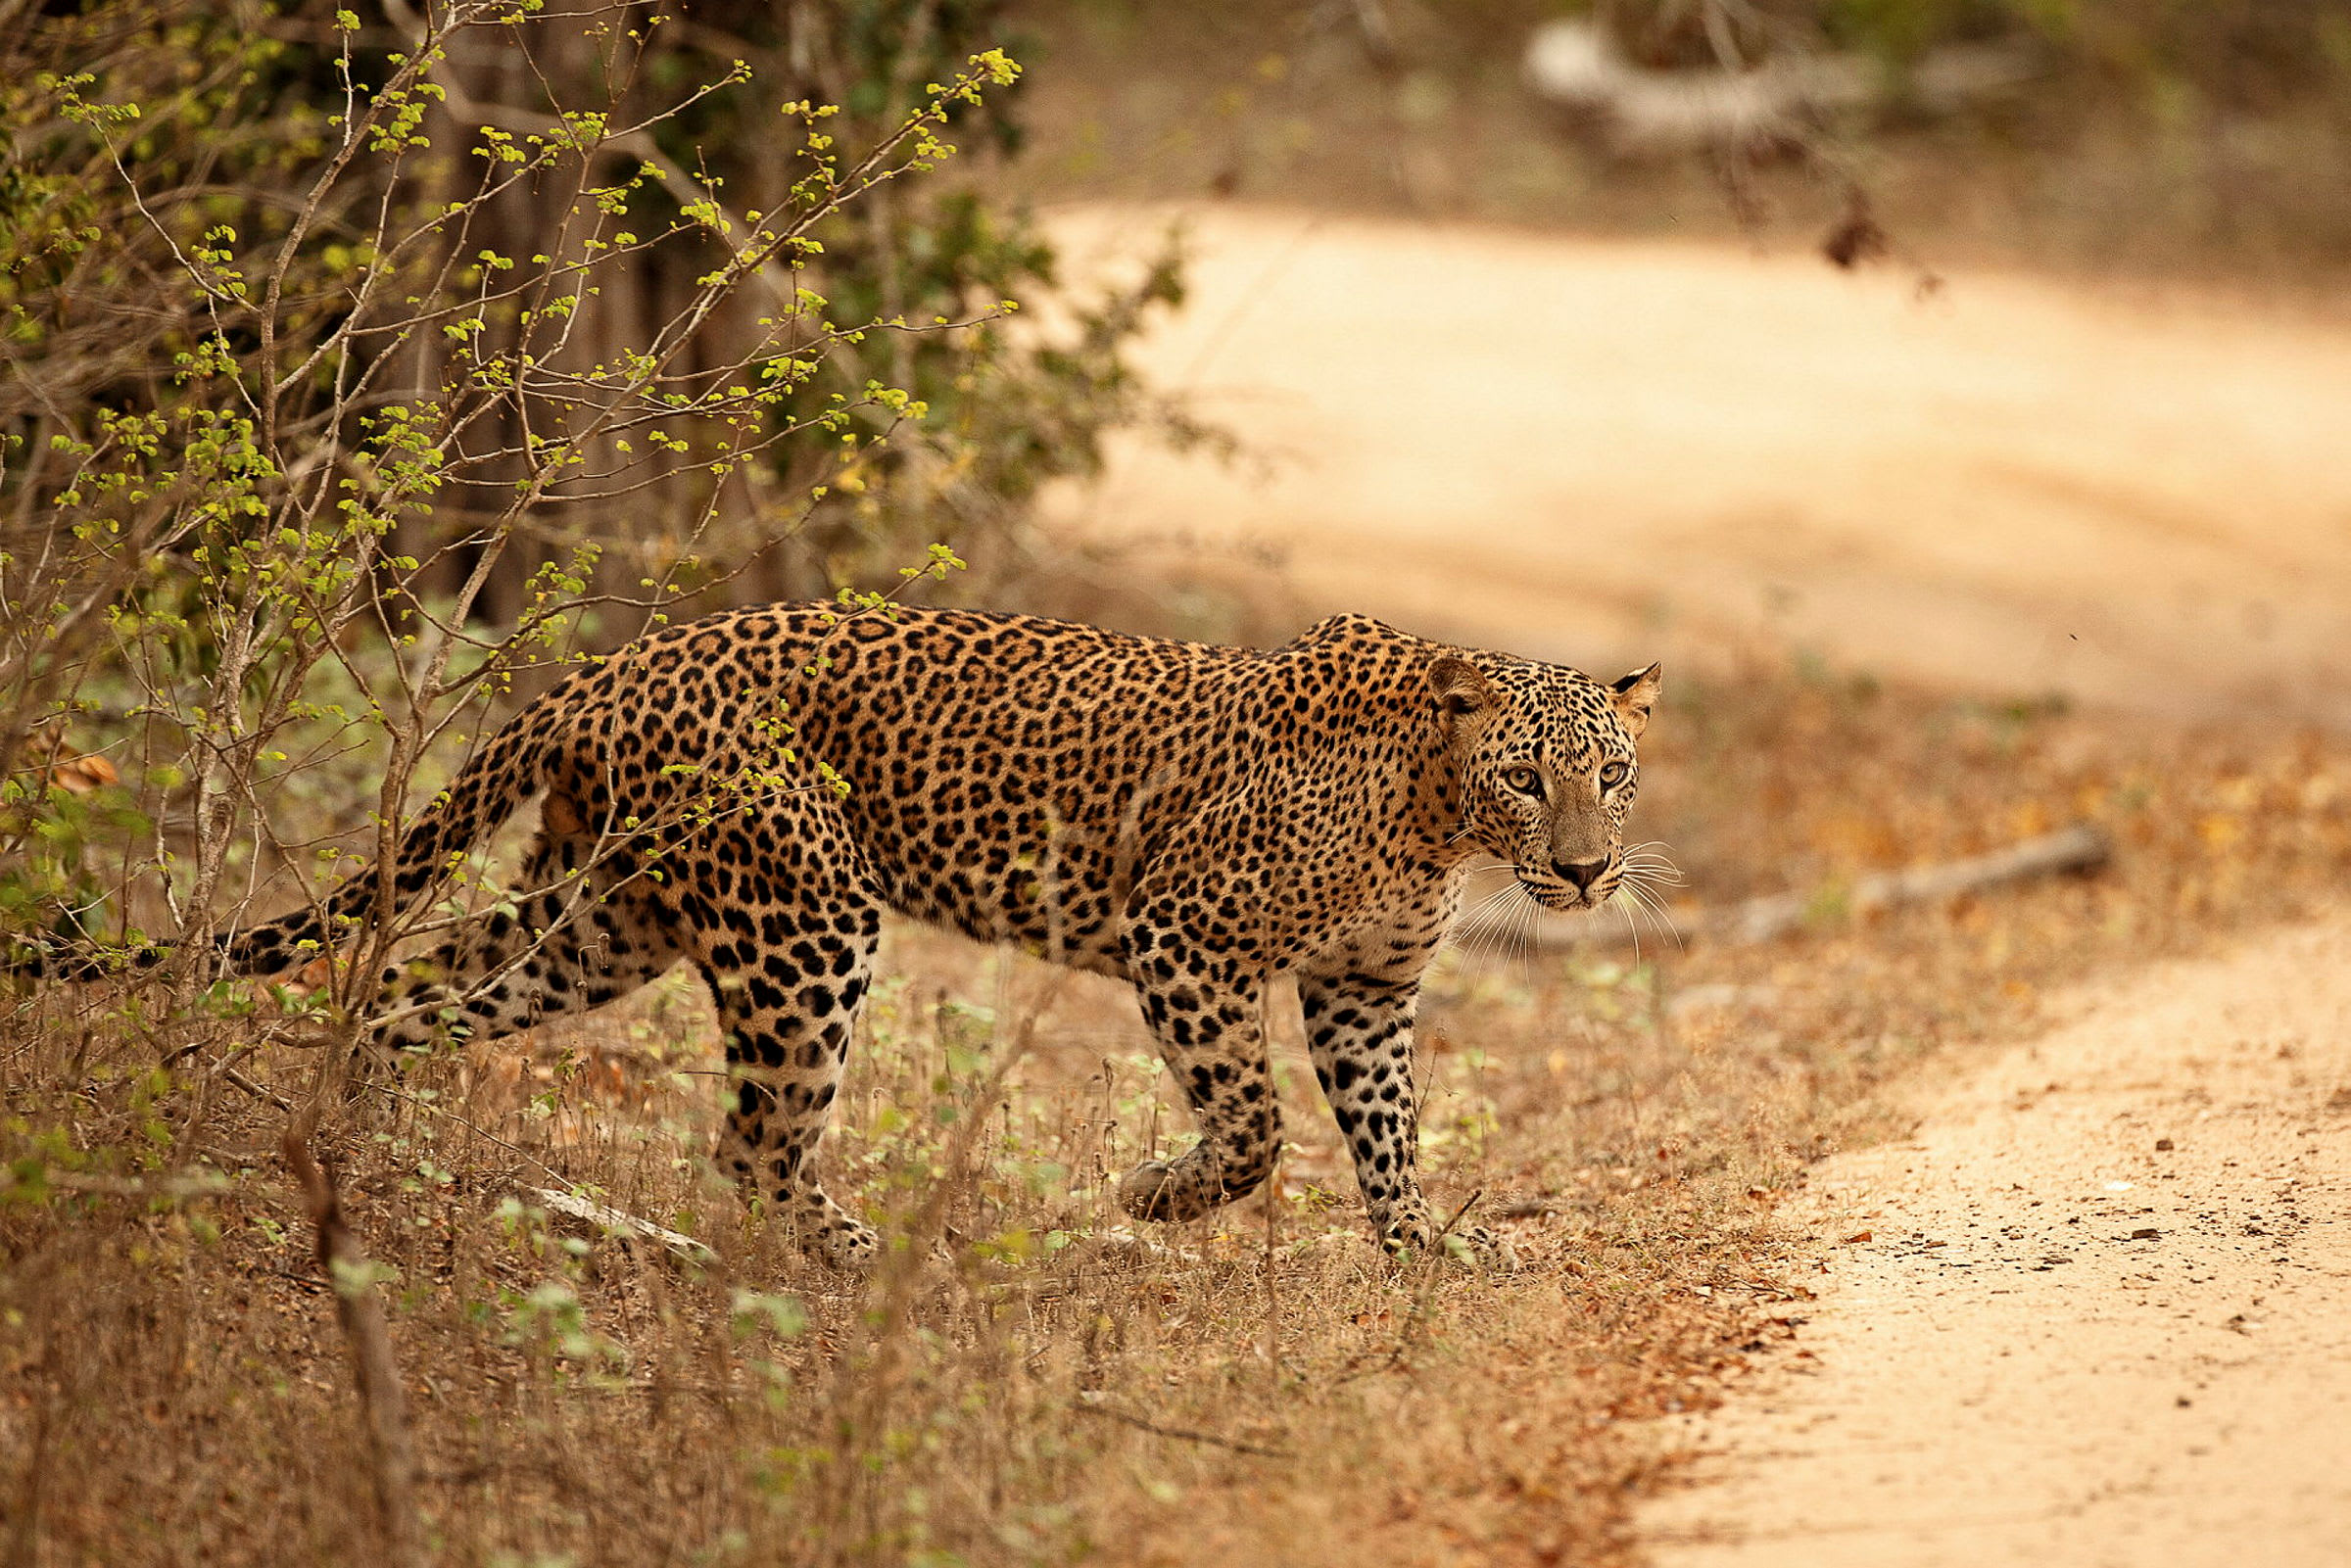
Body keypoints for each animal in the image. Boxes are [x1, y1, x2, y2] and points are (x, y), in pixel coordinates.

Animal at [23, 604, 1660, 1270]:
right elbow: (1256, 1127)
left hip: (600, 914)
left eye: (1614, 772)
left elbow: (1387, 1128)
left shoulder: (1363, 991)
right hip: (804, 918)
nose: (1586, 874)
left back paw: (347, 1145)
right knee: (751, 1139)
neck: (1437, 814)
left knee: (404, 996)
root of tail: (616, 665)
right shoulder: (1183, 934)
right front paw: (1157, 1199)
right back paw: (859, 1253)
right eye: (1530, 774)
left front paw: (1422, 1245)